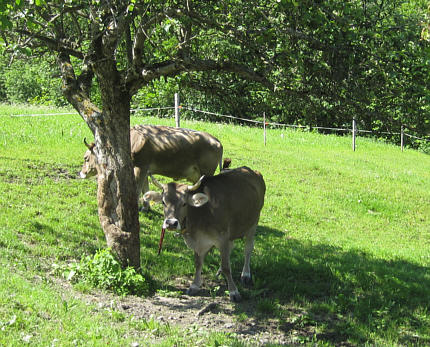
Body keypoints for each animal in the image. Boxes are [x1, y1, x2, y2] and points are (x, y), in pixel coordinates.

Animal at [78, 124, 223, 209]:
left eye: (86, 158)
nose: (81, 173)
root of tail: (216, 140)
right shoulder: (146, 170)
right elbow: (145, 189)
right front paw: (146, 207)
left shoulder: (140, 167)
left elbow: (137, 190)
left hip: (207, 174)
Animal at [144, 166, 266, 302]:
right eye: (163, 202)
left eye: (184, 203)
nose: (171, 223)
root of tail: (250, 170)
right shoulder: (199, 242)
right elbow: (198, 263)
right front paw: (195, 285)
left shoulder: (222, 237)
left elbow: (226, 267)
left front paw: (234, 292)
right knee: (231, 248)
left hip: (253, 222)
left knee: (248, 249)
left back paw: (245, 274)